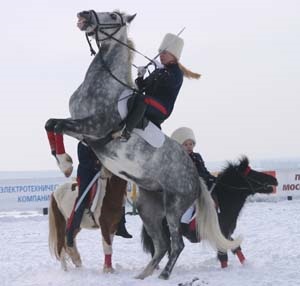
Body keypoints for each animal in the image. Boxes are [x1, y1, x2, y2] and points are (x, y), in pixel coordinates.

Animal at [44, 10, 240, 280]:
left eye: (113, 15)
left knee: (176, 244)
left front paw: (64, 163)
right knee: (162, 244)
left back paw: (164, 275)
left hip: (174, 206)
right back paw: (142, 275)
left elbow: (55, 125)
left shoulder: (93, 128)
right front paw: (64, 162)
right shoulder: (85, 136)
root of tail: (195, 176)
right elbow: (51, 125)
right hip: (148, 207)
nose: (83, 14)